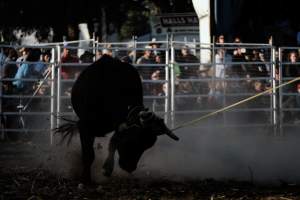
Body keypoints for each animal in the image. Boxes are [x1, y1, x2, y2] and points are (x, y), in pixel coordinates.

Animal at [55, 54, 179, 182]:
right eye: (132, 140)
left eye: (146, 146)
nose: (130, 167)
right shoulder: (85, 126)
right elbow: (88, 154)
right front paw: (86, 178)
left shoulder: (118, 124)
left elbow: (113, 142)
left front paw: (107, 168)